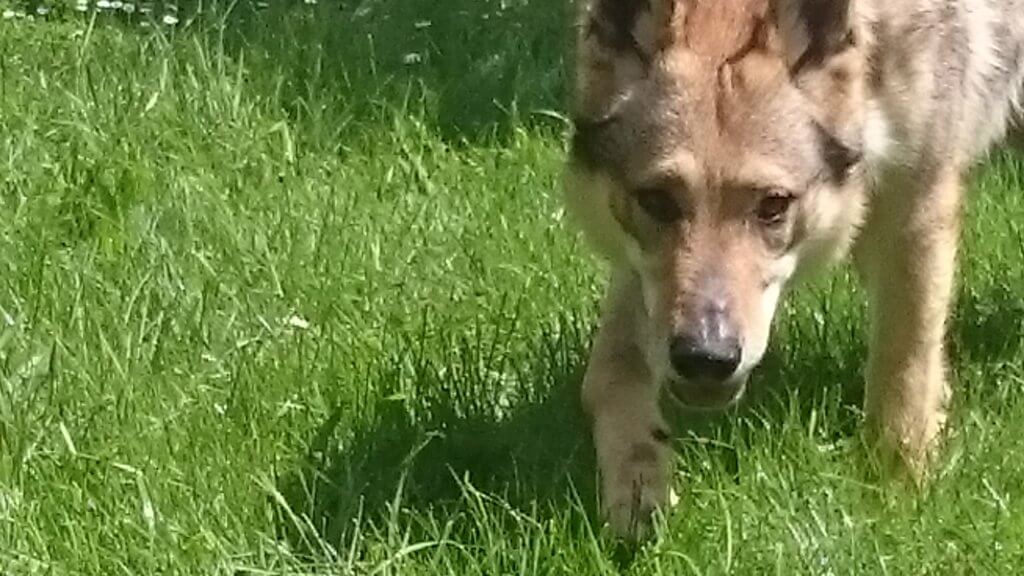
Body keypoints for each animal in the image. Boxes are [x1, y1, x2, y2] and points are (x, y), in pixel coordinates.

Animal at [563, 0, 1024, 539]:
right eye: (656, 200)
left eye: (773, 206)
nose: (706, 358)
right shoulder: (641, 274)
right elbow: (610, 373)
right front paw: (637, 484)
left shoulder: (919, 206)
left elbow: (903, 368)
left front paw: (898, 499)